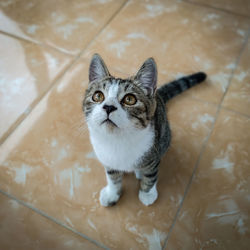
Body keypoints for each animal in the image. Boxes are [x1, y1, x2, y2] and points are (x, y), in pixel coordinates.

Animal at [83, 54, 206, 207]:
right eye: (98, 96)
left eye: (130, 99)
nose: (109, 107)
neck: (117, 139)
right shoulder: (106, 158)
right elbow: (112, 177)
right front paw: (112, 193)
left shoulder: (153, 152)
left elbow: (151, 174)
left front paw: (147, 193)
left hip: (165, 136)